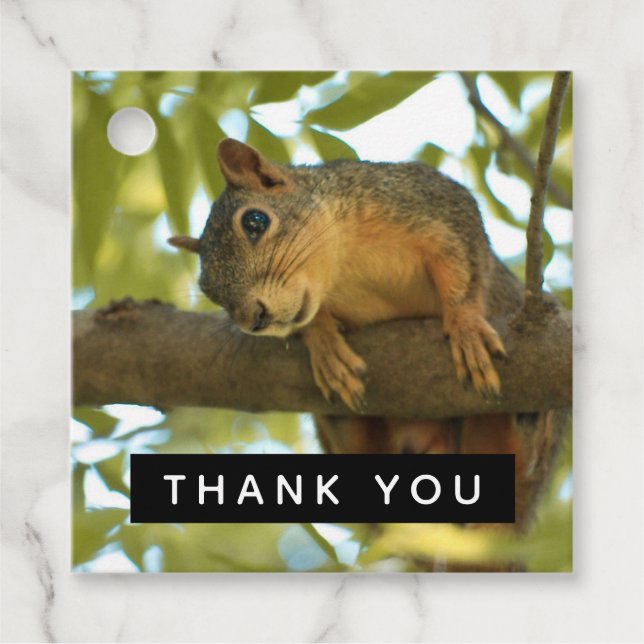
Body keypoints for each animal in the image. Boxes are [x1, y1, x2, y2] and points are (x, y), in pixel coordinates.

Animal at [169, 138, 567, 531]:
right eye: (208, 290)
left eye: (255, 221)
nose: (254, 319)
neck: (341, 267)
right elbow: (312, 320)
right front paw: (324, 343)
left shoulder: (430, 202)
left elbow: (463, 266)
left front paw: (465, 325)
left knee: (523, 456)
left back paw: (530, 418)